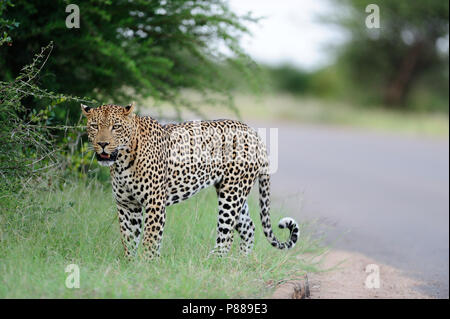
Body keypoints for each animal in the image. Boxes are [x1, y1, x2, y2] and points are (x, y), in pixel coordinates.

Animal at [81, 104, 298, 258]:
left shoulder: (154, 204)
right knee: (248, 228)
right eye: (94, 126)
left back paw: (213, 263)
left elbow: (150, 239)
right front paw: (131, 265)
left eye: (115, 127)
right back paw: (239, 263)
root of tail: (253, 132)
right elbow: (129, 239)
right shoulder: (127, 206)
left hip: (232, 194)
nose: (102, 144)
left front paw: (146, 265)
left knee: (226, 235)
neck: (121, 162)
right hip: (232, 190)